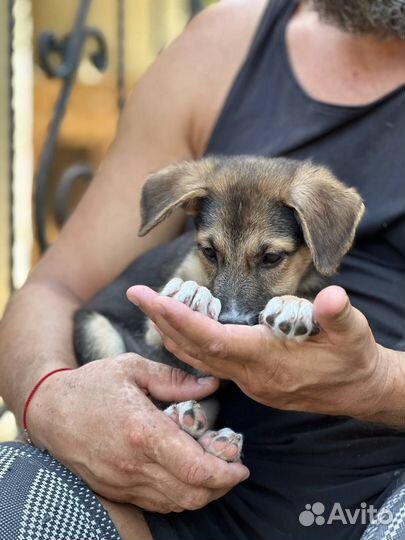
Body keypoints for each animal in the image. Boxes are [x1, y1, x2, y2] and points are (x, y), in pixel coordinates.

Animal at [73, 157, 362, 464]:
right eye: (209, 252)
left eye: (271, 257)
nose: (231, 321)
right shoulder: (152, 330)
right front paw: (192, 292)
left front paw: (294, 306)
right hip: (97, 330)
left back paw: (213, 438)